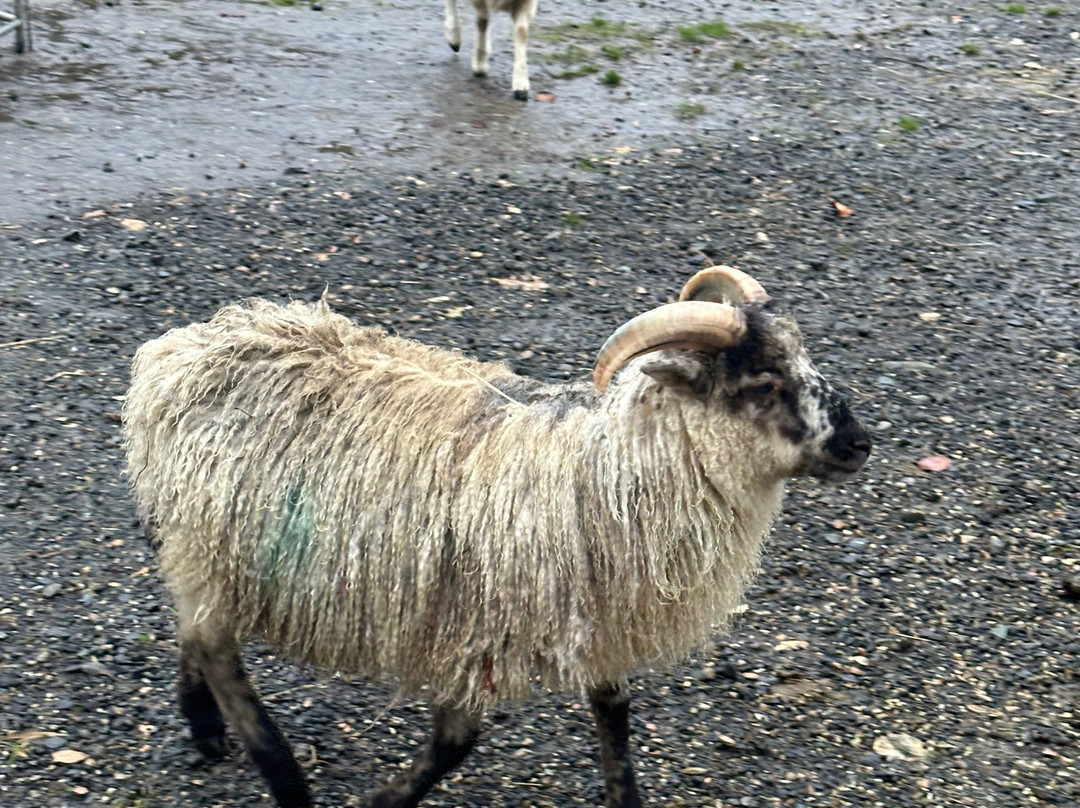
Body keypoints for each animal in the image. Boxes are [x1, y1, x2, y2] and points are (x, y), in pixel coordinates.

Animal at [123, 266, 871, 808]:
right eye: (764, 382)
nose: (860, 442)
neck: (608, 468)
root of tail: (178, 349)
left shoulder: (593, 616)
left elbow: (613, 712)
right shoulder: (468, 625)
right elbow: (457, 742)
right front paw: (380, 803)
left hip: (206, 548)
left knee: (193, 626)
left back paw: (205, 728)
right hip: (216, 541)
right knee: (216, 647)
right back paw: (282, 777)